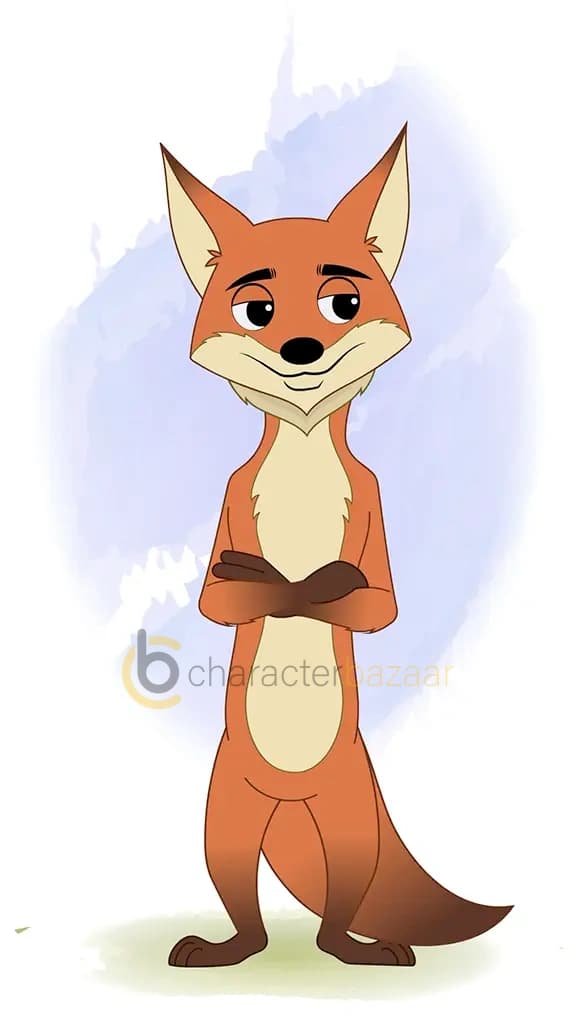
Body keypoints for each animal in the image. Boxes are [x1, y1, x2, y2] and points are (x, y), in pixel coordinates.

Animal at [160, 125, 512, 968]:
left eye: (342, 303)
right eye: (256, 309)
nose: (300, 347)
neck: (302, 461)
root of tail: (293, 799)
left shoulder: (375, 509)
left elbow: (368, 602)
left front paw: (315, 583)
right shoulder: (230, 500)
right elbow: (227, 593)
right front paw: (280, 583)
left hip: (349, 814)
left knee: (338, 902)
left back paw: (356, 947)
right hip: (229, 812)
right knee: (245, 905)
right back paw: (230, 948)